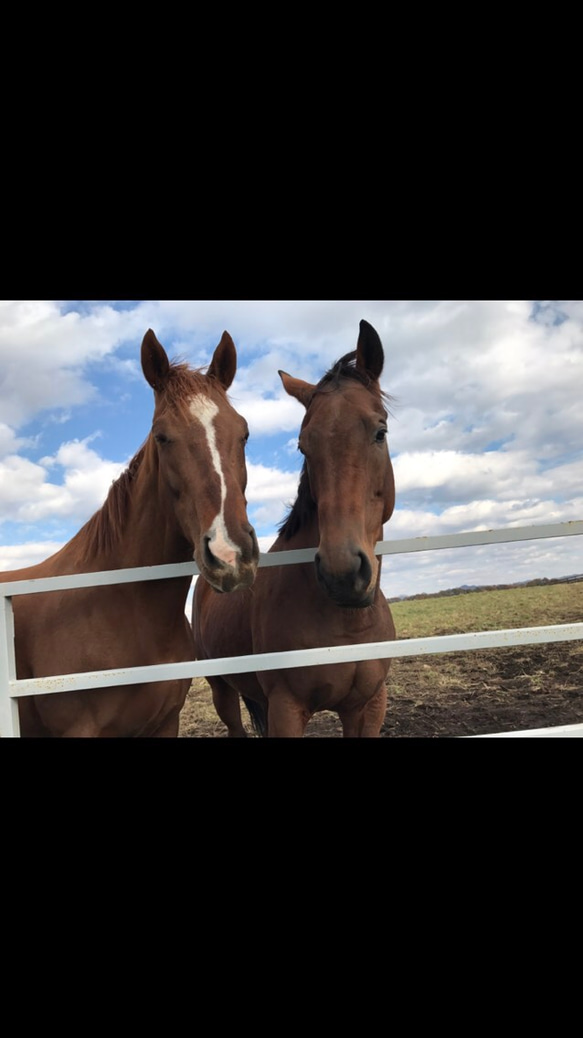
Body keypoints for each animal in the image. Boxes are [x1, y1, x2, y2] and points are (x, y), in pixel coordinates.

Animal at [190, 319, 394, 734]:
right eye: (303, 446)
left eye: (380, 431)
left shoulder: (369, 706)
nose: (342, 574)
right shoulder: (286, 707)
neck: (348, 622)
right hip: (222, 688)